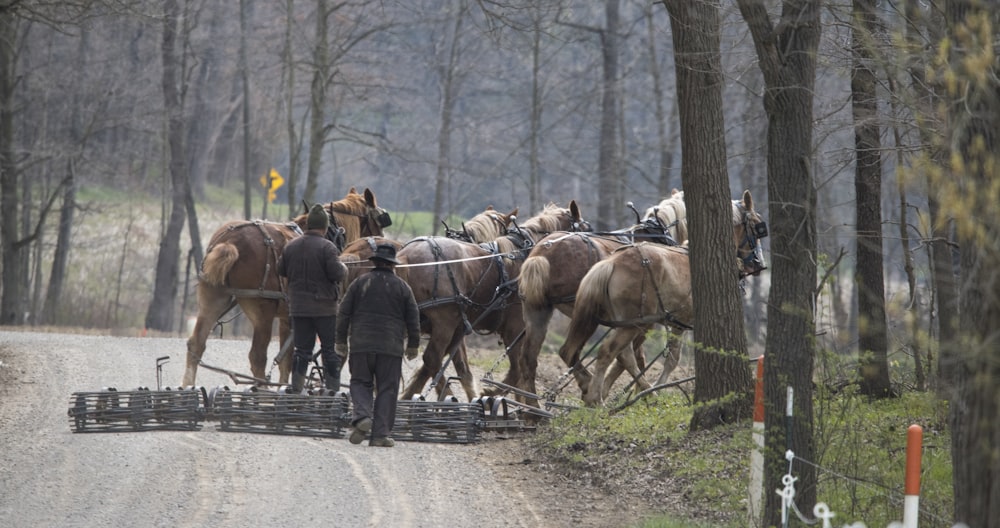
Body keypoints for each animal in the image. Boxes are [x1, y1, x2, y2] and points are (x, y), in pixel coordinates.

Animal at [184, 188, 390, 386]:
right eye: (378, 222)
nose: (381, 243)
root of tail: (229, 242)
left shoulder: (287, 319)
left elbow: (286, 361)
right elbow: (292, 359)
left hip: (212, 298)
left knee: (196, 344)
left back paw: (188, 385)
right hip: (262, 312)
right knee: (257, 357)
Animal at [396, 202, 584, 400]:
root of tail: (406, 256)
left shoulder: (460, 329)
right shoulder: (514, 329)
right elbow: (517, 370)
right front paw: (491, 394)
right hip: (443, 322)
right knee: (432, 358)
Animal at [516, 192, 688, 402]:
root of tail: (541, 254)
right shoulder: (643, 321)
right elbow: (629, 357)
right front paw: (640, 392)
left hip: (538, 310)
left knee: (529, 360)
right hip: (587, 314)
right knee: (570, 352)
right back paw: (587, 385)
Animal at [556, 192, 764, 406]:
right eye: (758, 226)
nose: (760, 265)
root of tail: (611, 262)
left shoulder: (676, 323)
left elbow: (668, 358)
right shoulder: (683, 323)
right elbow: (673, 360)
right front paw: (659, 387)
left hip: (623, 323)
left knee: (619, 355)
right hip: (634, 323)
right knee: (608, 352)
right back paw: (599, 398)